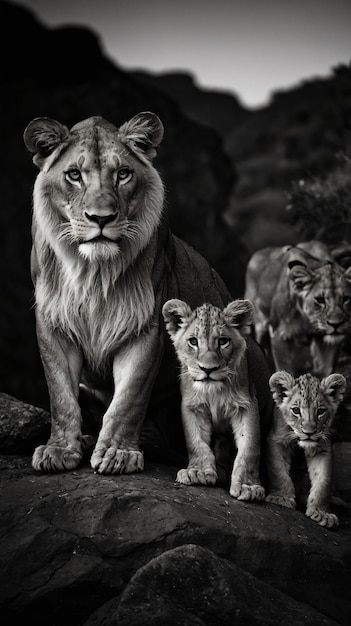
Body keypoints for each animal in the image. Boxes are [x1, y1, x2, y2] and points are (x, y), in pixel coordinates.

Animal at [23, 111, 274, 472]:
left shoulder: (144, 327)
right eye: (74, 175)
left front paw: (117, 454)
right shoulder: (53, 324)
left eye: (123, 174)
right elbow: (61, 396)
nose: (101, 218)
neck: (93, 271)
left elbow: (129, 399)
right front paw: (59, 450)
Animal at [162, 294, 270, 500]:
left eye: (223, 341)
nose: (208, 369)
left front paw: (248, 486)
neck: (214, 392)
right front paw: (197, 472)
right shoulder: (192, 406)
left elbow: (250, 449)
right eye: (193, 341)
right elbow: (195, 441)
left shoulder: (247, 405)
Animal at [246, 240, 351, 376]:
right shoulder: (279, 333)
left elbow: (327, 370)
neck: (308, 319)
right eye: (320, 299)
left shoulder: (327, 340)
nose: (336, 324)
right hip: (260, 324)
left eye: (346, 298)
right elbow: (285, 370)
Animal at [266, 370, 346, 528]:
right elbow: (279, 472)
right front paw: (281, 498)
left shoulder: (322, 448)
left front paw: (322, 513)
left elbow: (323, 482)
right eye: (296, 410)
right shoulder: (276, 440)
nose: (309, 432)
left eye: (320, 411)